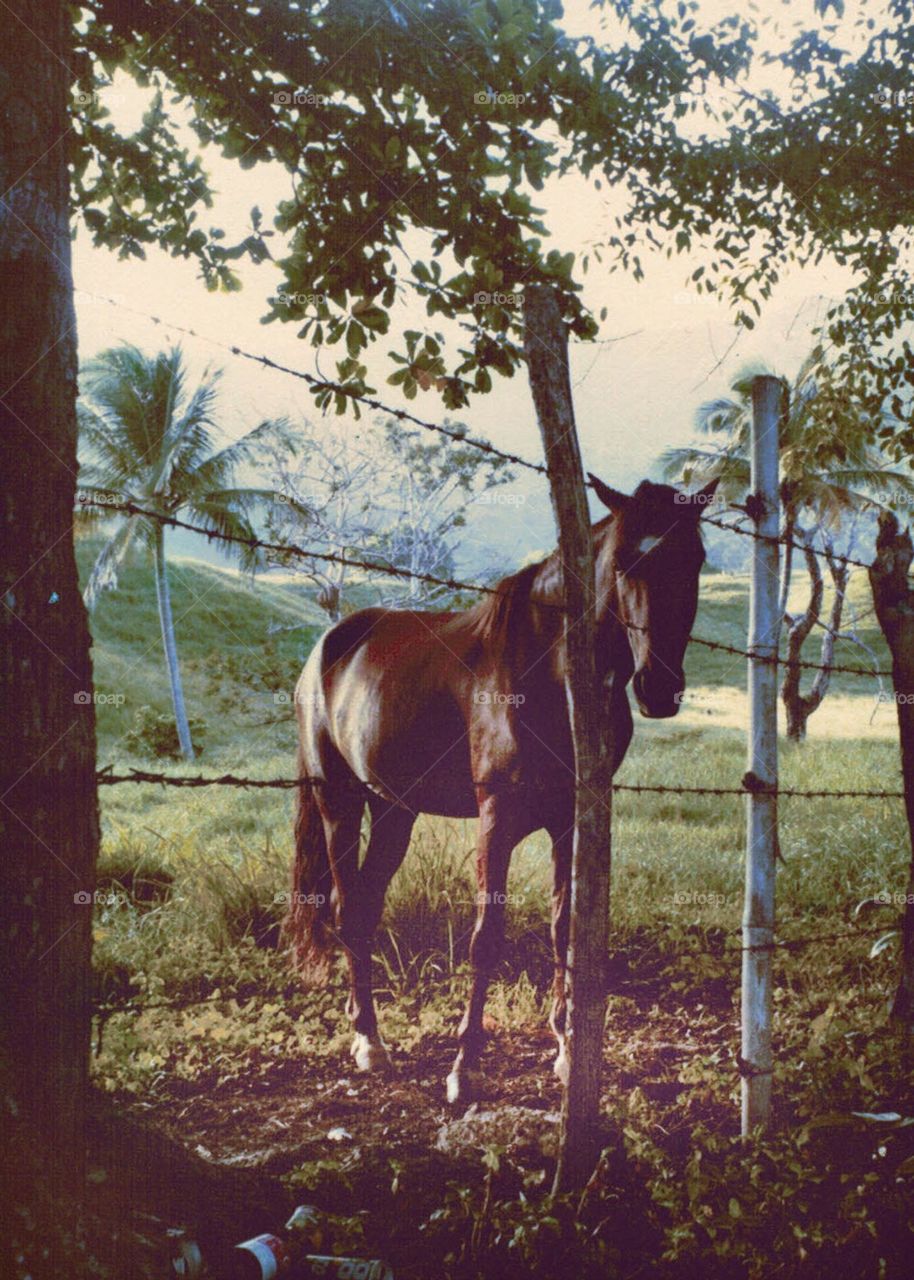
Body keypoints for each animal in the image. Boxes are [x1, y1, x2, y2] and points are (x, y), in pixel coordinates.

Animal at [282, 476, 711, 1105]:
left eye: (695, 558)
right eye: (624, 562)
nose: (659, 687)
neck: (554, 673)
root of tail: (325, 651)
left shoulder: (572, 819)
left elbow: (564, 927)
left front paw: (566, 1048)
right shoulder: (496, 816)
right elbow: (487, 937)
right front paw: (465, 1067)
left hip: (393, 812)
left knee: (364, 907)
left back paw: (365, 1027)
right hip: (339, 803)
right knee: (348, 911)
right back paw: (368, 1042)